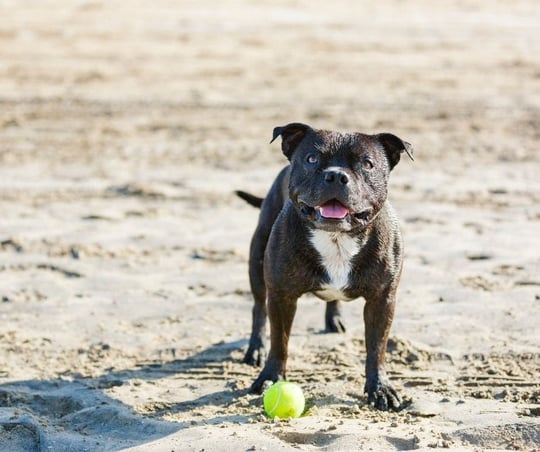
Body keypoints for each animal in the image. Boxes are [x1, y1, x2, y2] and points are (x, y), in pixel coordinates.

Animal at [236, 122, 414, 410]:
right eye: (311, 159)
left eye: (367, 164)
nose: (336, 176)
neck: (336, 240)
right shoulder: (281, 296)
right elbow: (280, 342)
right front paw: (271, 377)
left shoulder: (382, 300)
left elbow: (377, 348)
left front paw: (380, 388)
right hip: (257, 260)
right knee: (258, 308)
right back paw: (256, 348)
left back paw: (334, 319)